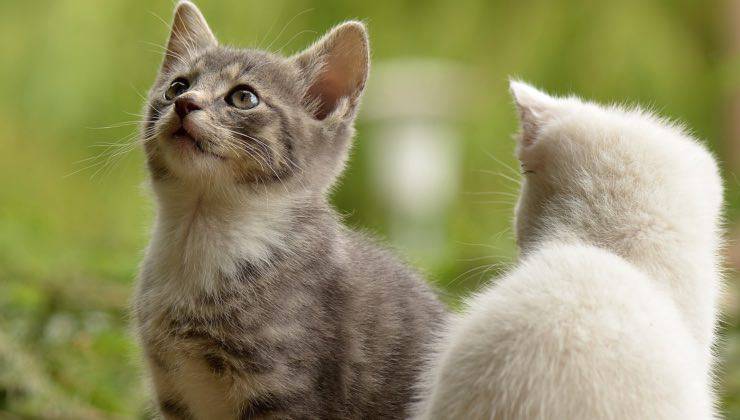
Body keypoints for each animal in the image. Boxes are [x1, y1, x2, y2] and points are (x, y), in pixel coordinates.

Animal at [132, 1, 446, 418]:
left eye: (244, 97)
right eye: (177, 86)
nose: (185, 103)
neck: (198, 237)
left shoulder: (287, 389)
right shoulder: (174, 393)